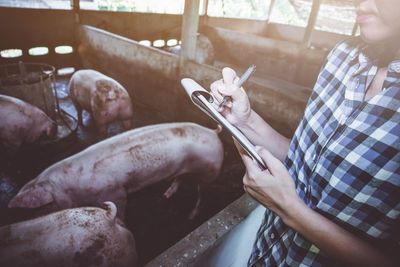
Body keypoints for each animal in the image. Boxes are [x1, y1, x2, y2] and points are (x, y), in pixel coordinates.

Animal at [8, 122, 225, 221]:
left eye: (39, 207)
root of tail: (213, 132)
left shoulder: (116, 191)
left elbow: (120, 208)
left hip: (210, 171)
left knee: (202, 194)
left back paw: (191, 216)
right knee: (179, 179)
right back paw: (166, 195)